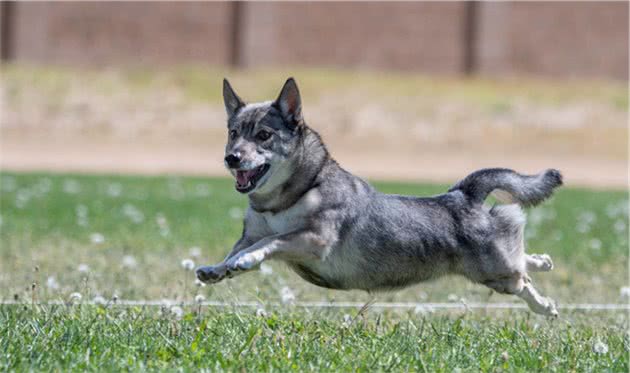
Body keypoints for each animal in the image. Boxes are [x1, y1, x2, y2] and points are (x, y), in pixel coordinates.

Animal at [198, 77, 564, 316]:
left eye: (263, 135)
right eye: (233, 133)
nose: (232, 158)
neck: (285, 199)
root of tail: (463, 195)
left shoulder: (313, 239)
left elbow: (268, 243)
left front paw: (246, 260)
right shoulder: (252, 233)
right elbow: (238, 250)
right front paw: (219, 268)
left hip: (496, 273)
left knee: (522, 278)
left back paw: (545, 306)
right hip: (496, 265)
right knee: (522, 258)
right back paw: (543, 261)